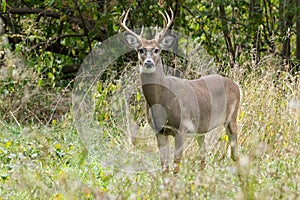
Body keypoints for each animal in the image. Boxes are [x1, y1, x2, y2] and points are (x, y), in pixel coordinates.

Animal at [119, 8, 241, 174]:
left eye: (157, 49)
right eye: (140, 50)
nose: (148, 62)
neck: (160, 100)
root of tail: (235, 85)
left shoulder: (181, 128)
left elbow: (176, 165)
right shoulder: (159, 131)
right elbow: (164, 167)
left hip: (231, 117)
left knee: (235, 152)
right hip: (201, 129)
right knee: (204, 154)